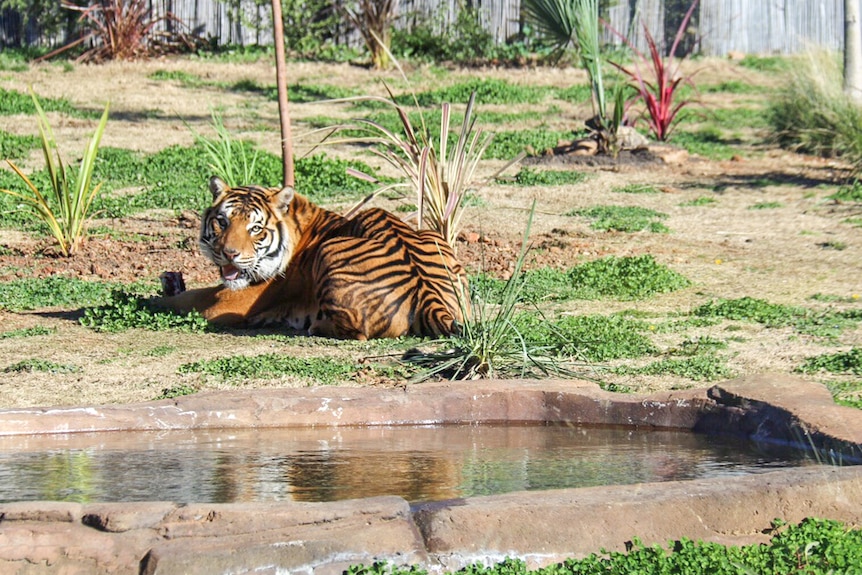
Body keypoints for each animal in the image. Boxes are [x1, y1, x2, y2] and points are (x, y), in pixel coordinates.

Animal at [155, 178, 466, 340]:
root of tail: (430, 297)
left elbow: (182, 301)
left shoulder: (232, 301)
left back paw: (316, 326)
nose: (229, 253)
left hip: (330, 251)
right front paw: (170, 282)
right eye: (222, 221)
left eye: (255, 228)